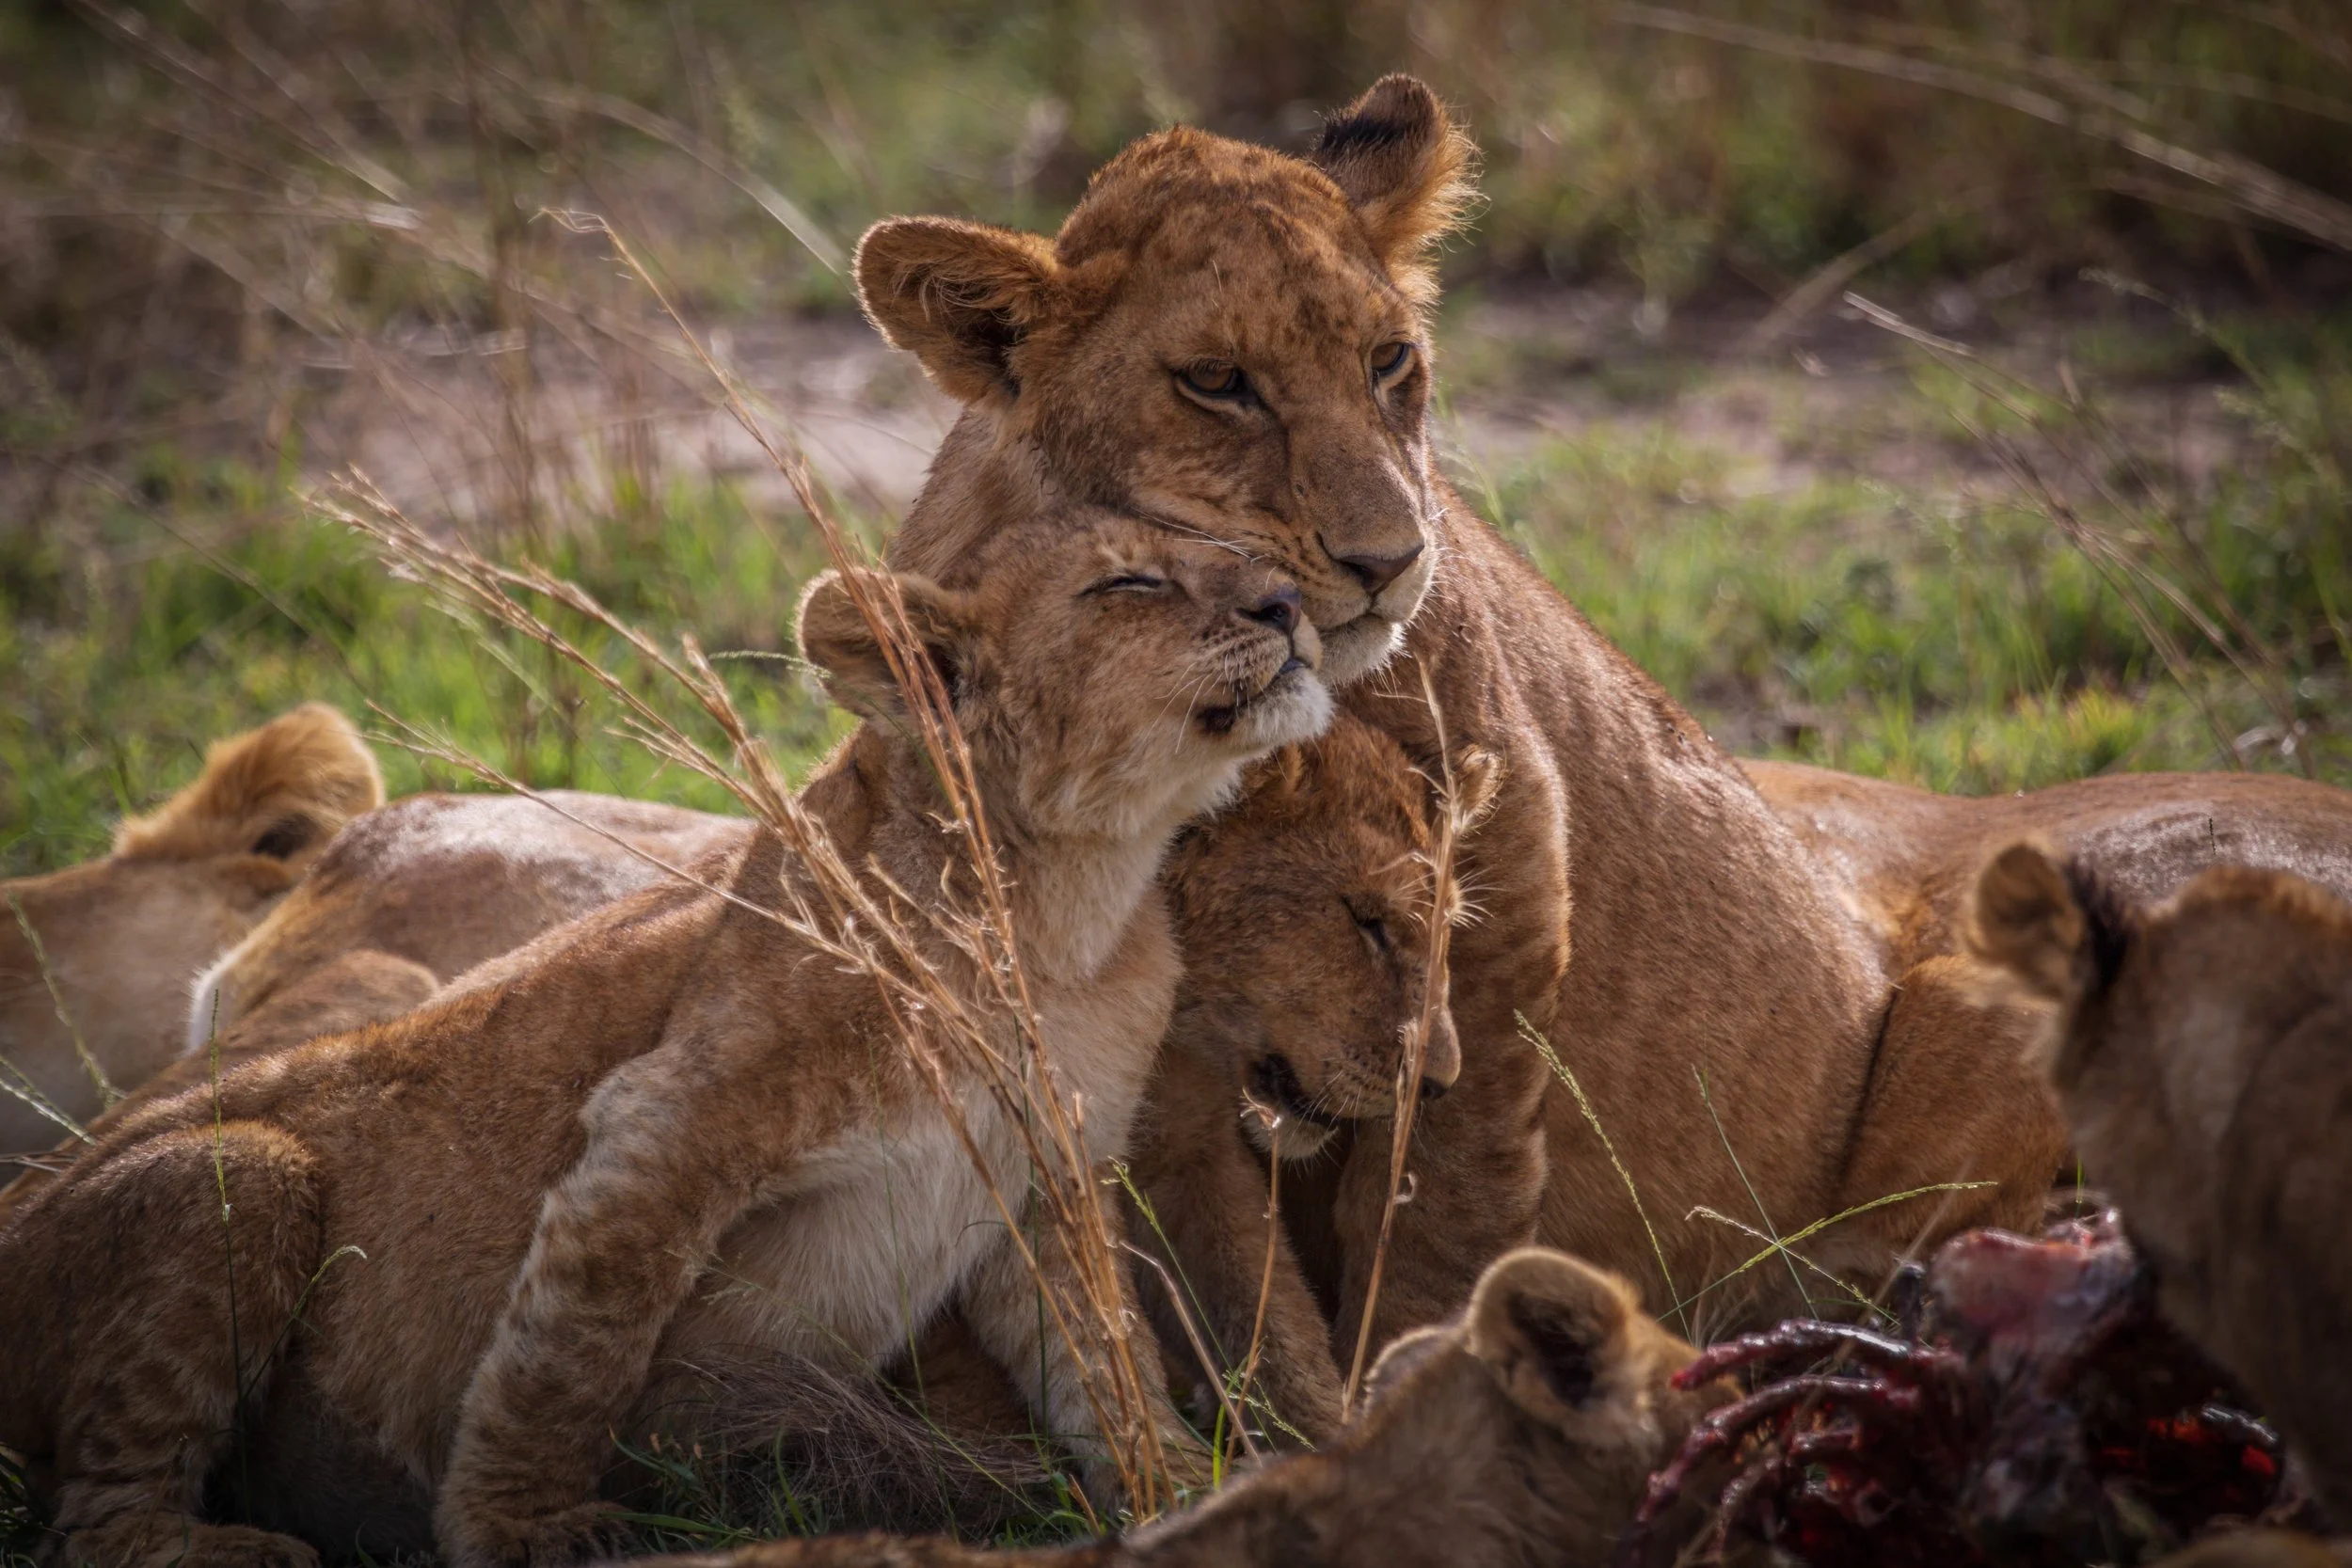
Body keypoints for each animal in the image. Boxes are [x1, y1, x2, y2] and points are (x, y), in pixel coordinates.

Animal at [855, 71, 2352, 1346]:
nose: (1391, 558)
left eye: (1390, 361)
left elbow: (1438, 1187)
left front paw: (1410, 1377)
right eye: (1217, 382)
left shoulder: (1507, 864)